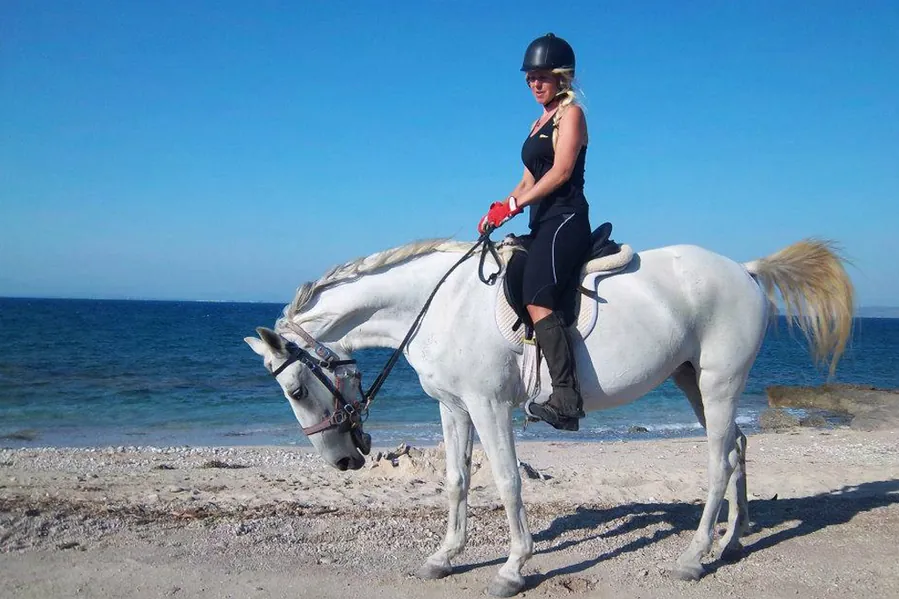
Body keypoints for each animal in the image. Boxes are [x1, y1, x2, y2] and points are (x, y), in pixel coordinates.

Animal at [244, 235, 853, 597]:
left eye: (296, 389)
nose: (343, 462)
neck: (437, 303)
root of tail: (745, 272)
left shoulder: (489, 406)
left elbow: (507, 482)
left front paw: (514, 566)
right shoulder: (453, 406)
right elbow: (456, 480)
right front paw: (445, 556)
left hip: (718, 384)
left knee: (718, 463)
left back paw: (694, 556)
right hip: (694, 383)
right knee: (737, 449)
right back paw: (732, 540)